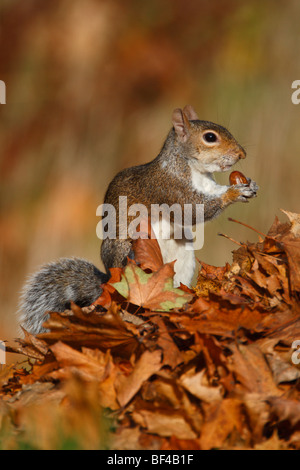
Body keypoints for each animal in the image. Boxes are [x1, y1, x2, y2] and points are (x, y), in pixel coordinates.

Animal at [19, 106, 258, 334]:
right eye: (210, 137)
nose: (242, 154)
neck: (192, 169)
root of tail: (108, 284)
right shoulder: (169, 190)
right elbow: (193, 210)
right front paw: (233, 193)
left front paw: (249, 186)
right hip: (129, 254)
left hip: (183, 258)